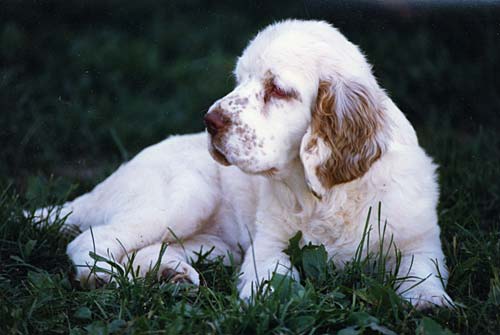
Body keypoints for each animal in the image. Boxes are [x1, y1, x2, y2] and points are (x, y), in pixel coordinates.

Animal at [33, 19, 452, 310]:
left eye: (277, 89)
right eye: (239, 79)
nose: (209, 121)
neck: (328, 195)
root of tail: (103, 185)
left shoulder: (420, 238)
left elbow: (422, 268)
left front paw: (428, 300)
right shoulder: (267, 245)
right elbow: (273, 275)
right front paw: (277, 300)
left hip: (215, 245)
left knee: (142, 249)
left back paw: (170, 275)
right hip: (186, 196)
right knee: (91, 240)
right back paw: (104, 278)